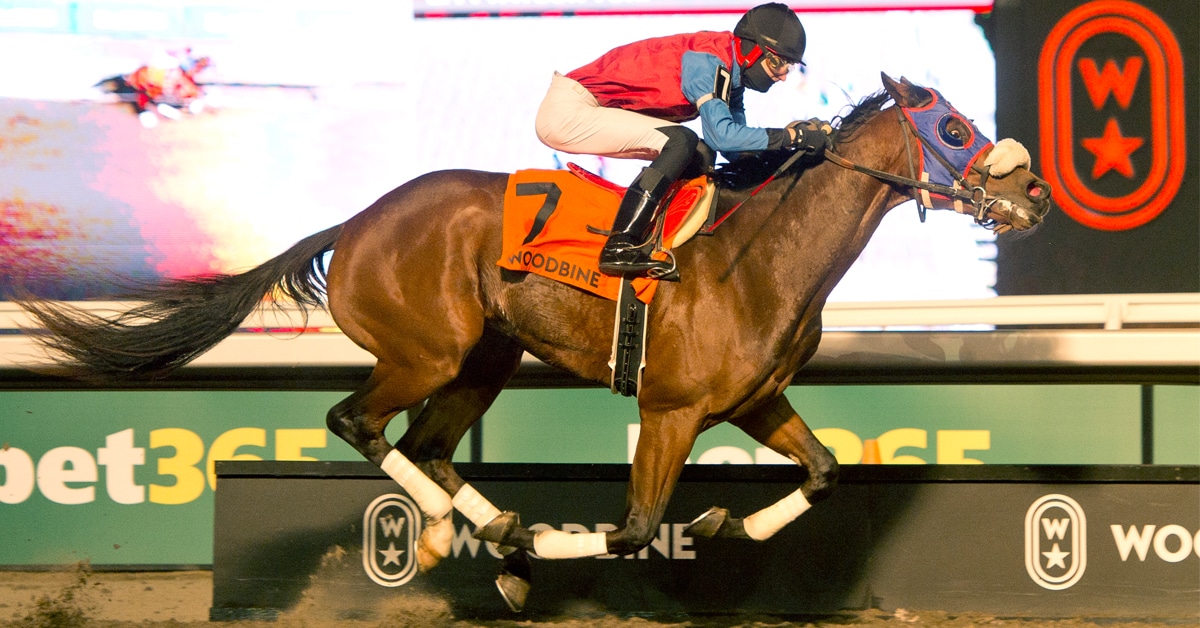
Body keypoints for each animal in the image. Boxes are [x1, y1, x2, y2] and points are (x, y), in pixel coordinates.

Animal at [23, 74, 1050, 611]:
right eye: (953, 126)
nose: (1035, 195)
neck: (759, 255)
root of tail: (354, 223)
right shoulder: (671, 409)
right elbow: (632, 528)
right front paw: (585, 535)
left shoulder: (753, 399)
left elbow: (826, 471)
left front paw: (725, 524)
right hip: (426, 352)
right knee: (358, 423)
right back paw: (494, 535)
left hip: (485, 358)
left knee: (429, 448)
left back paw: (471, 532)